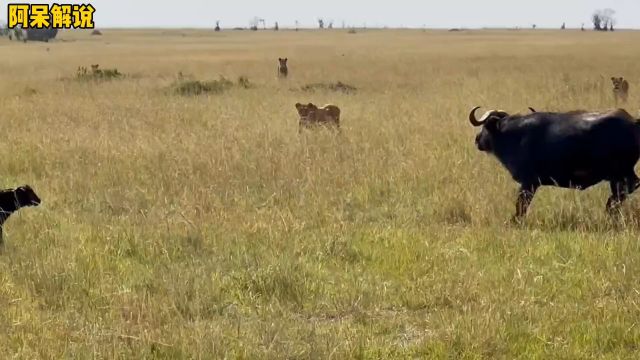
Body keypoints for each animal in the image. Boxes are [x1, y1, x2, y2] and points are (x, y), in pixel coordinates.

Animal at [468, 105, 640, 221]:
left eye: (485, 126)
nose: (476, 140)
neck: (514, 135)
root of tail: (634, 122)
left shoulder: (528, 183)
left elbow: (521, 205)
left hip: (620, 174)